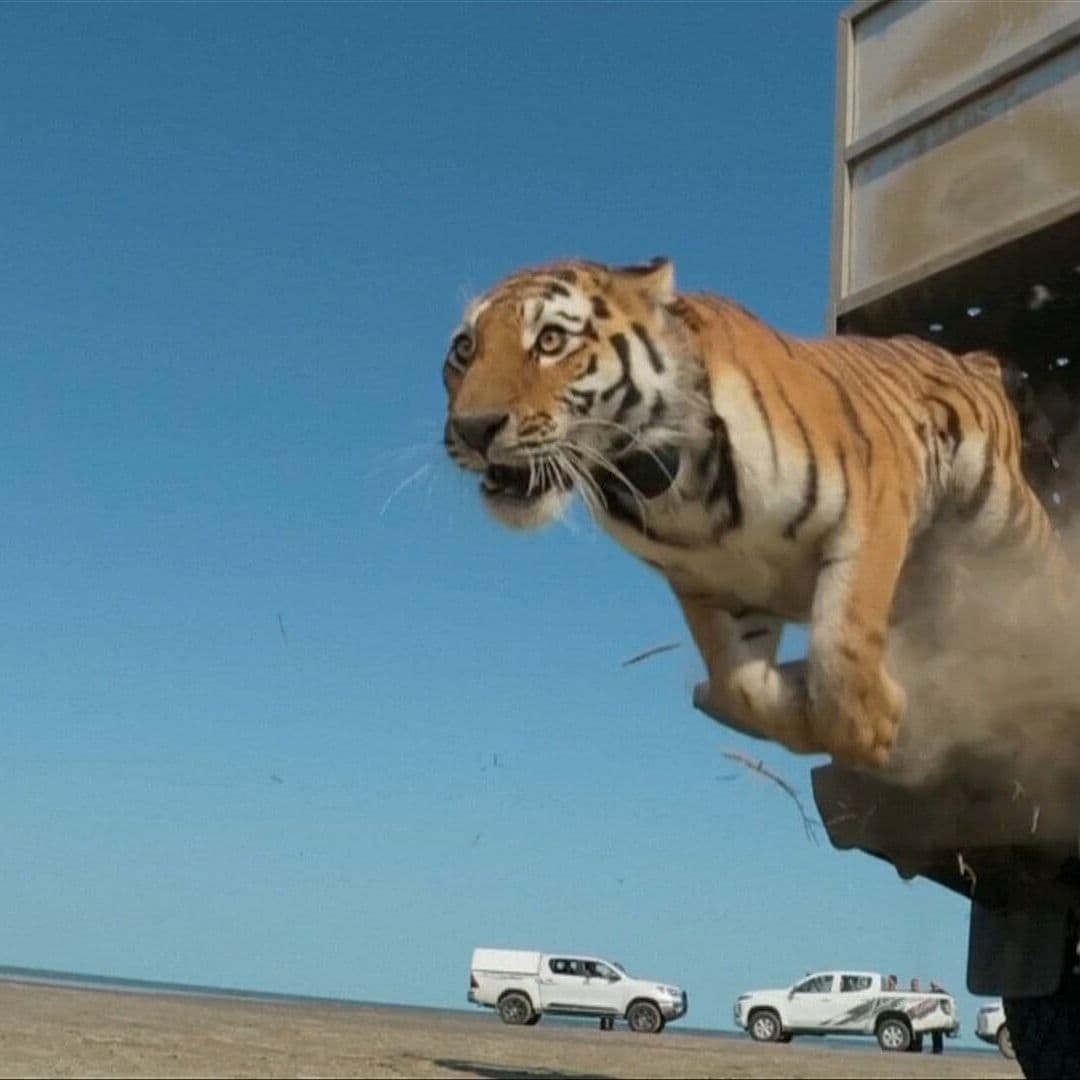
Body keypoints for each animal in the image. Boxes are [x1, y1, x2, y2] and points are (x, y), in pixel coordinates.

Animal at [441, 256, 1067, 768]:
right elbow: (743, 685)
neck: (661, 477)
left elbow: (841, 640)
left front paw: (869, 727)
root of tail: (972, 357)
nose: (472, 429)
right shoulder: (708, 584)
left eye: (550, 340)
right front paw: (798, 718)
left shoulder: (872, 506)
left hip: (1004, 514)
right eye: (464, 351)